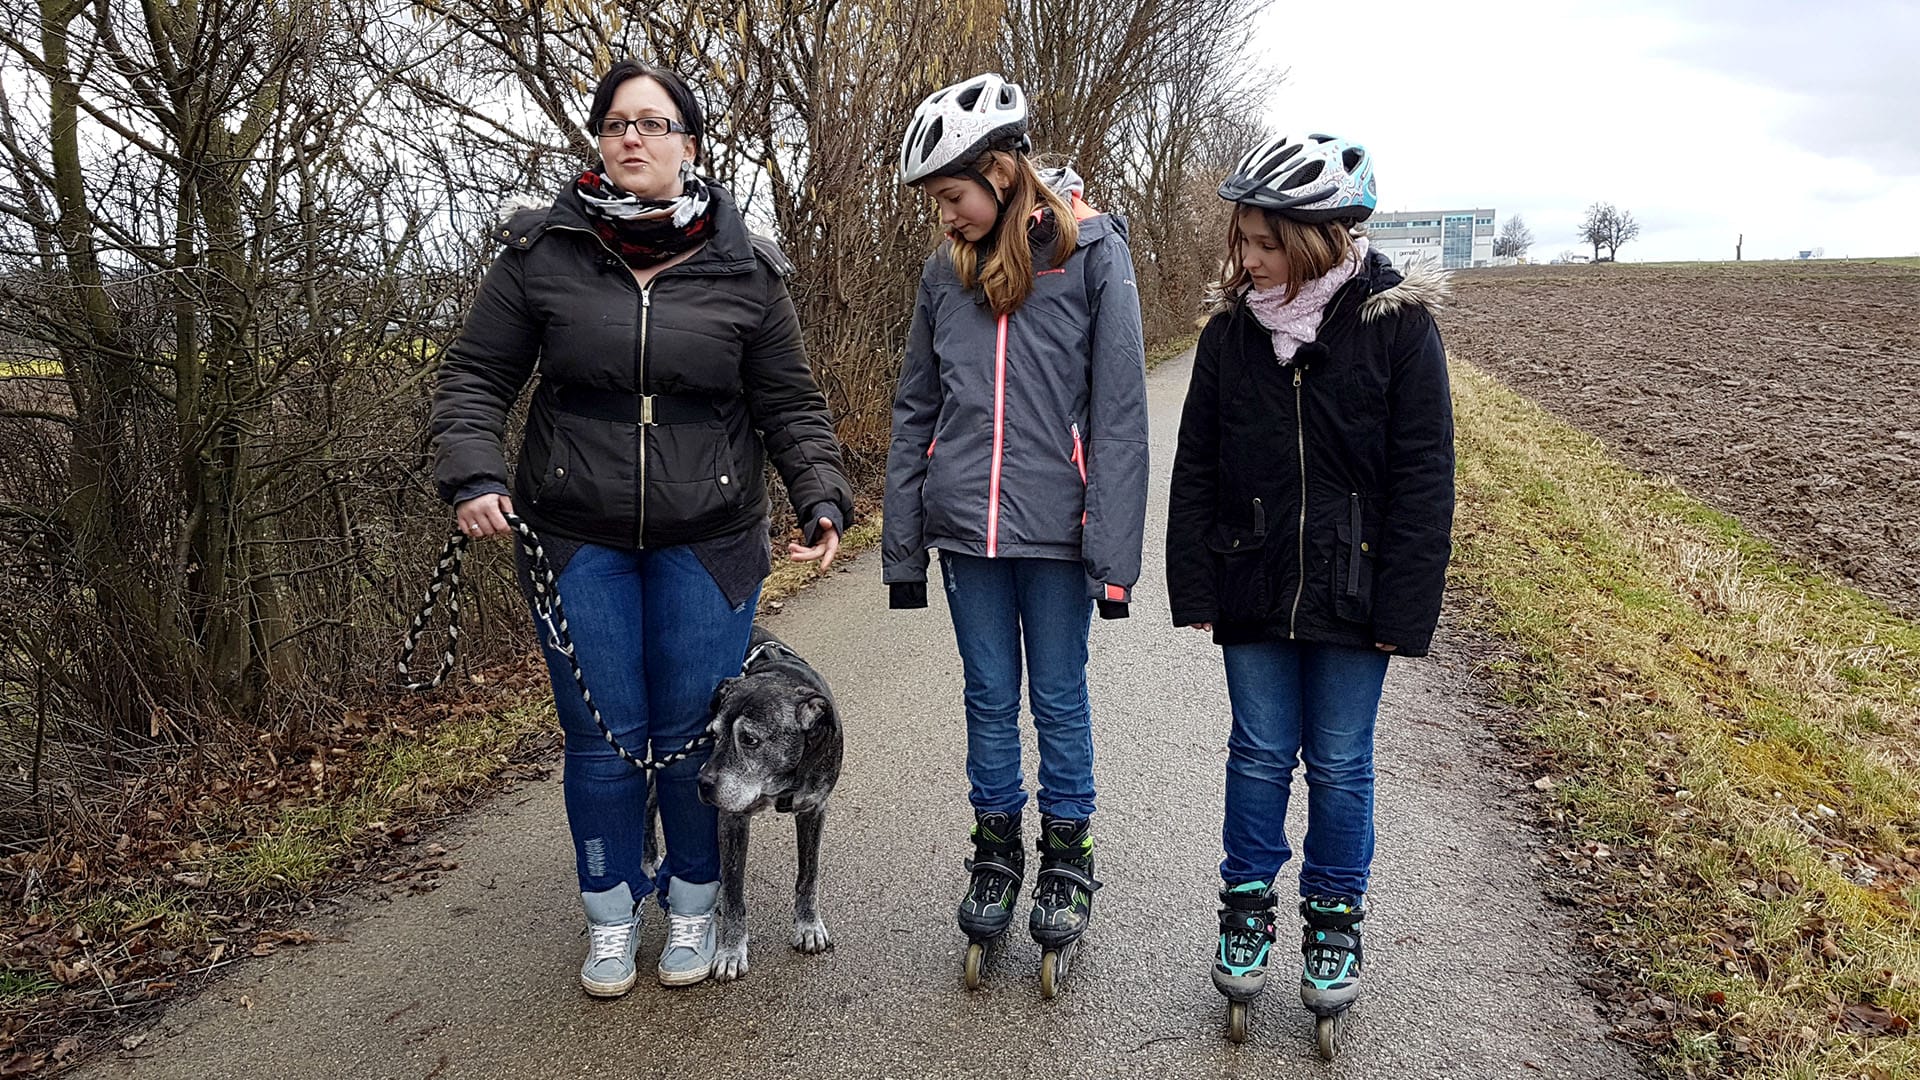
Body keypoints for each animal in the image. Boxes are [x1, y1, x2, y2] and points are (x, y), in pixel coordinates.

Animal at [695, 626, 837, 980]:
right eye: (713, 735)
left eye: (750, 739)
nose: (703, 783)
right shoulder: (732, 819)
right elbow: (734, 893)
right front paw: (731, 951)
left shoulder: (813, 809)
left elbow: (808, 875)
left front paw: (808, 926)